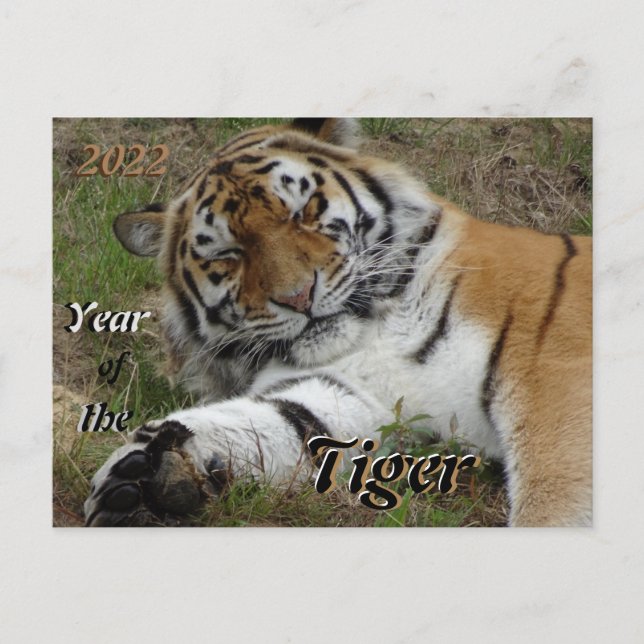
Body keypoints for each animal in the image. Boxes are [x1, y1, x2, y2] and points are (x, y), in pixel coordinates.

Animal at [83, 118, 592, 527]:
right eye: (229, 254)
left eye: (302, 212)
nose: (298, 296)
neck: (378, 326)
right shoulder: (351, 391)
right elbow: (284, 421)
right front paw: (147, 474)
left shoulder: (556, 375)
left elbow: (554, 495)